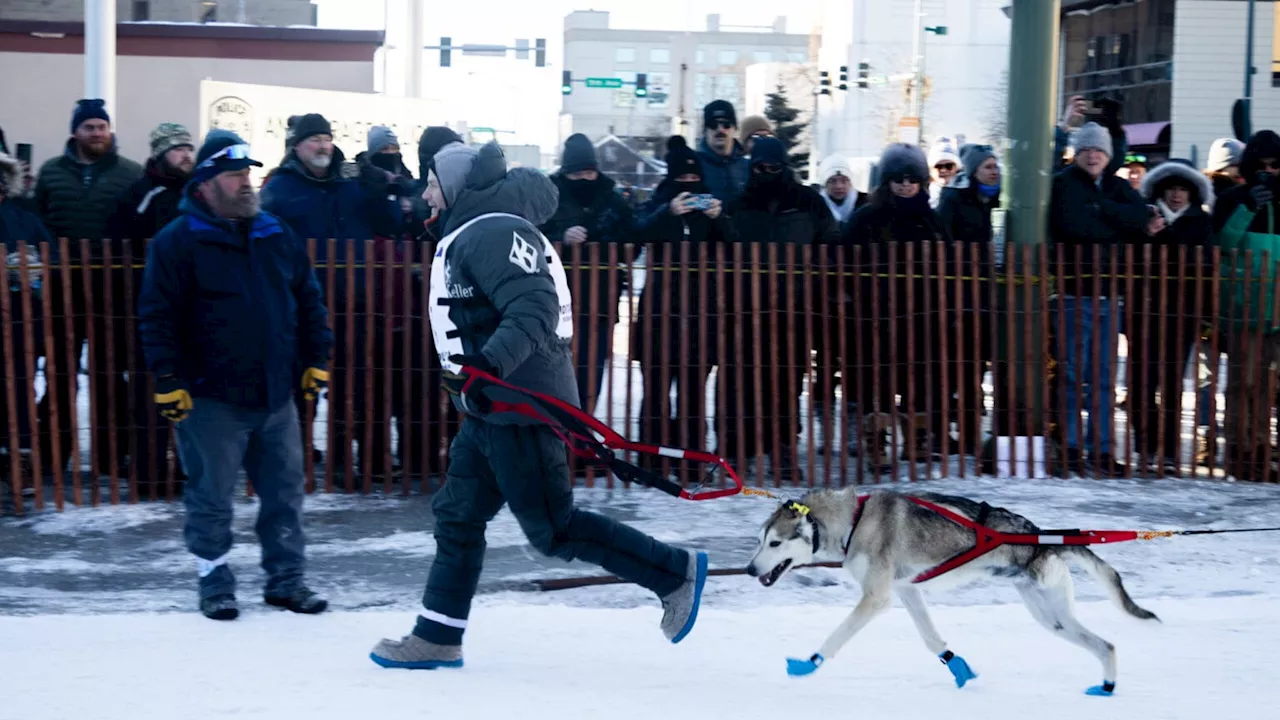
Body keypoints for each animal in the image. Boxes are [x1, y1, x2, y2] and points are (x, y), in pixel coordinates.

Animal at [747, 484, 1167, 691]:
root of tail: (1044, 538)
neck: (853, 520)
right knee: (1106, 645)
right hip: (1054, 620)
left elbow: (835, 637)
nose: (750, 569)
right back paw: (1106, 686)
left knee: (1105, 645)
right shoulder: (906, 591)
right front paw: (959, 668)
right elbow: (933, 640)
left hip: (1053, 612)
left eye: (775, 543)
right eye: (760, 540)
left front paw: (809, 663)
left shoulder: (876, 598)